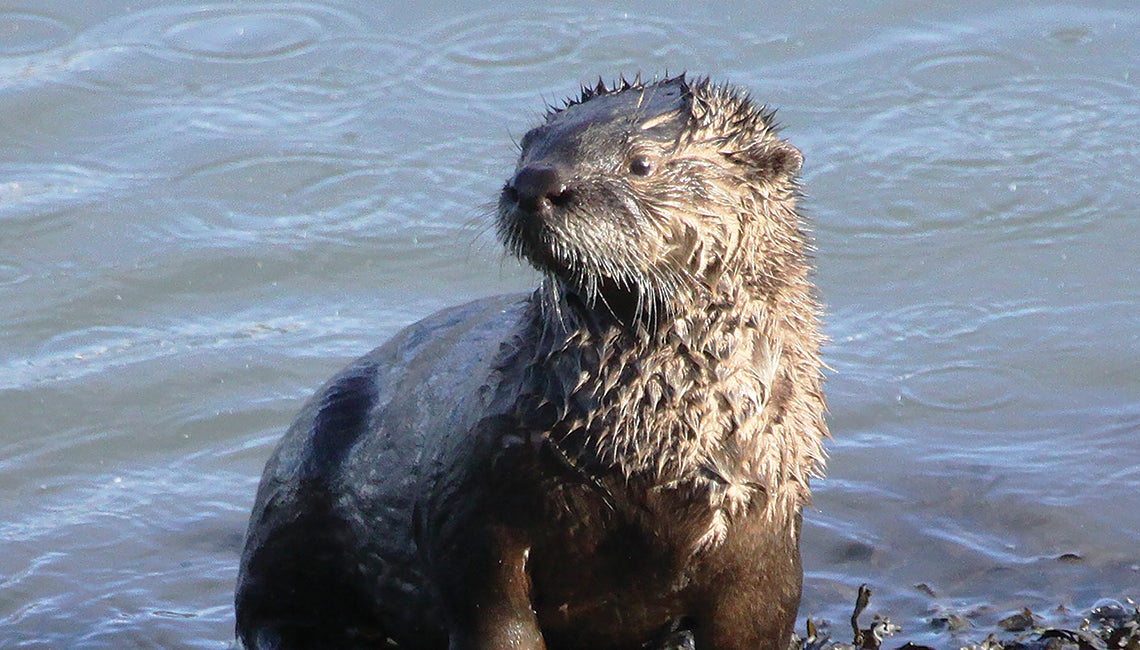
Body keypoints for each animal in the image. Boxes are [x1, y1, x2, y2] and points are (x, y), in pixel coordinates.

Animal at [235, 75, 825, 647]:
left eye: (641, 163)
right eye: (529, 146)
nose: (536, 182)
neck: (643, 451)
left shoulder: (765, 528)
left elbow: (756, 623)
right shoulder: (476, 505)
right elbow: (497, 617)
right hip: (289, 505)